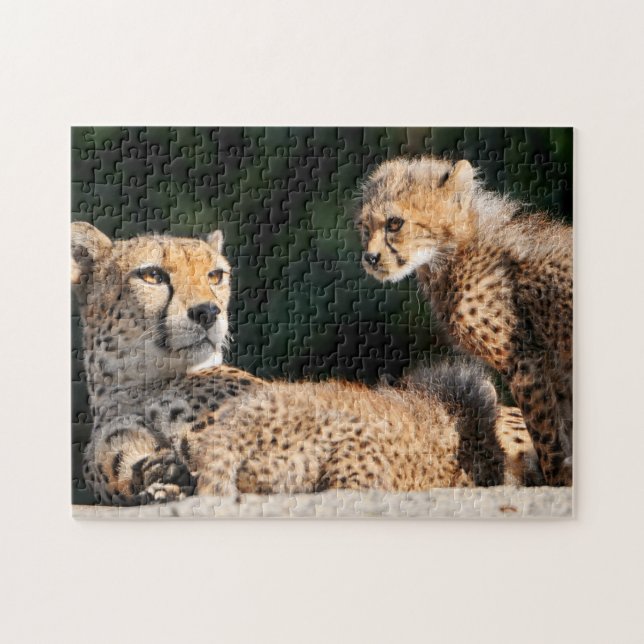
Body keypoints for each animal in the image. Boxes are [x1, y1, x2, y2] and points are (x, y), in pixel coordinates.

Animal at [357, 156, 573, 486]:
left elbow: (546, 432)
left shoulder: (526, 361)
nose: (370, 258)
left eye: (394, 223)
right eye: (365, 227)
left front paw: (559, 480)